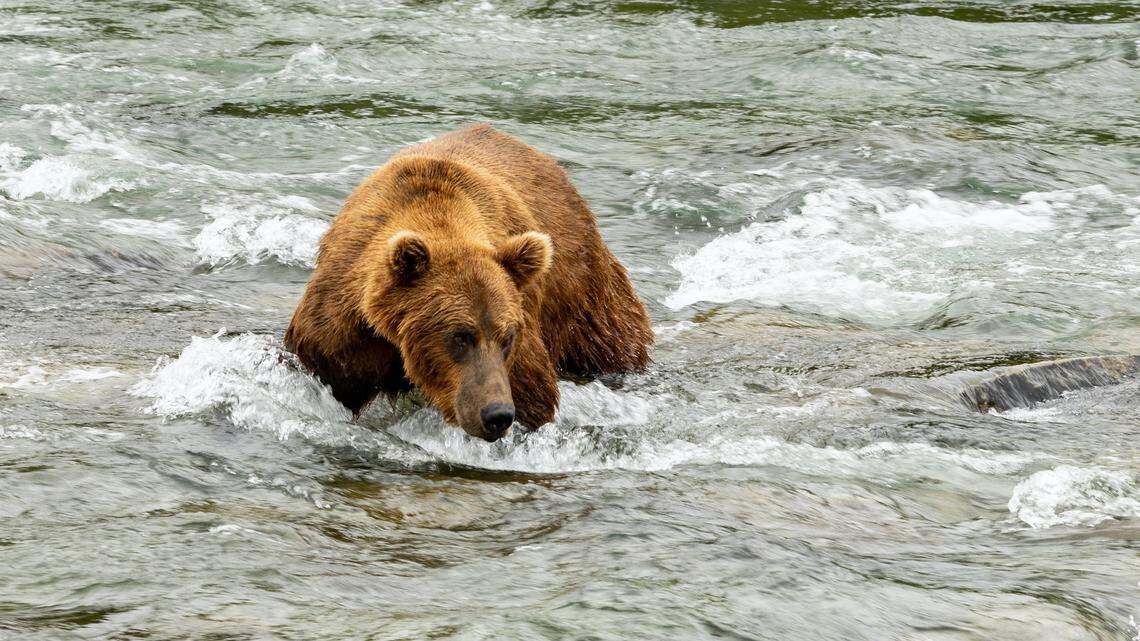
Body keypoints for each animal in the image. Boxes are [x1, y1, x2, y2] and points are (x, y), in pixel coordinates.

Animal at [284, 124, 653, 441]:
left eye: (507, 337)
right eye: (460, 335)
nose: (497, 414)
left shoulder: (519, 346)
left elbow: (534, 397)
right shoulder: (345, 331)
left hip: (585, 297)